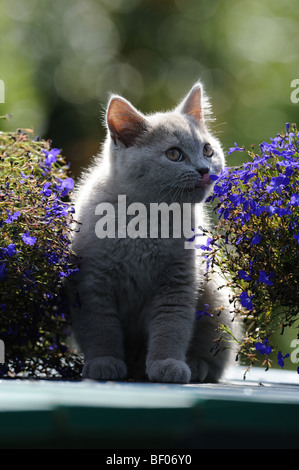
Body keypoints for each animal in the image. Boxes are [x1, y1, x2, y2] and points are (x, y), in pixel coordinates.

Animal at [68, 81, 237, 382]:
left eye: (207, 150)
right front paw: (104, 363)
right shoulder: (91, 282)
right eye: (174, 154)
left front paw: (168, 363)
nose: (204, 169)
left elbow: (171, 325)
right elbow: (101, 326)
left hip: (215, 297)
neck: (148, 222)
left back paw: (197, 366)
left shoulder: (178, 280)